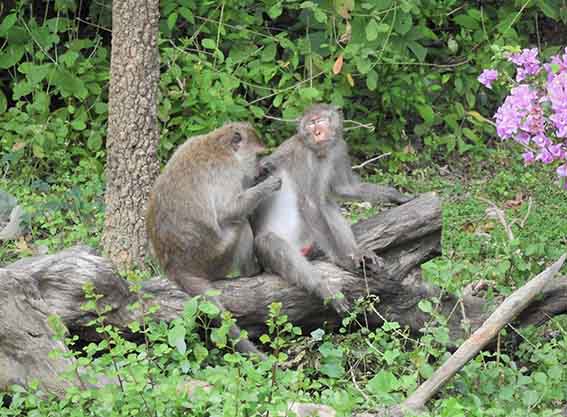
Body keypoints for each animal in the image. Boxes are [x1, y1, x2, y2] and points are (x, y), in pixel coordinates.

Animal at [145, 122, 280, 356]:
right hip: (215, 258)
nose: (259, 170)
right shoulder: (229, 172)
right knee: (240, 224)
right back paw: (252, 271)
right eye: (257, 156)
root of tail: (176, 267)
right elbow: (228, 211)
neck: (219, 145)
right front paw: (267, 185)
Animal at [253, 103, 412, 312]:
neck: (321, 152)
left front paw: (394, 195)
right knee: (271, 241)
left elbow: (343, 189)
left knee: (327, 204)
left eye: (320, 120)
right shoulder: (303, 156)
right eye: (311, 124)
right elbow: (310, 203)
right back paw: (326, 284)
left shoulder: (340, 148)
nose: (318, 132)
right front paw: (341, 261)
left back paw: (356, 254)